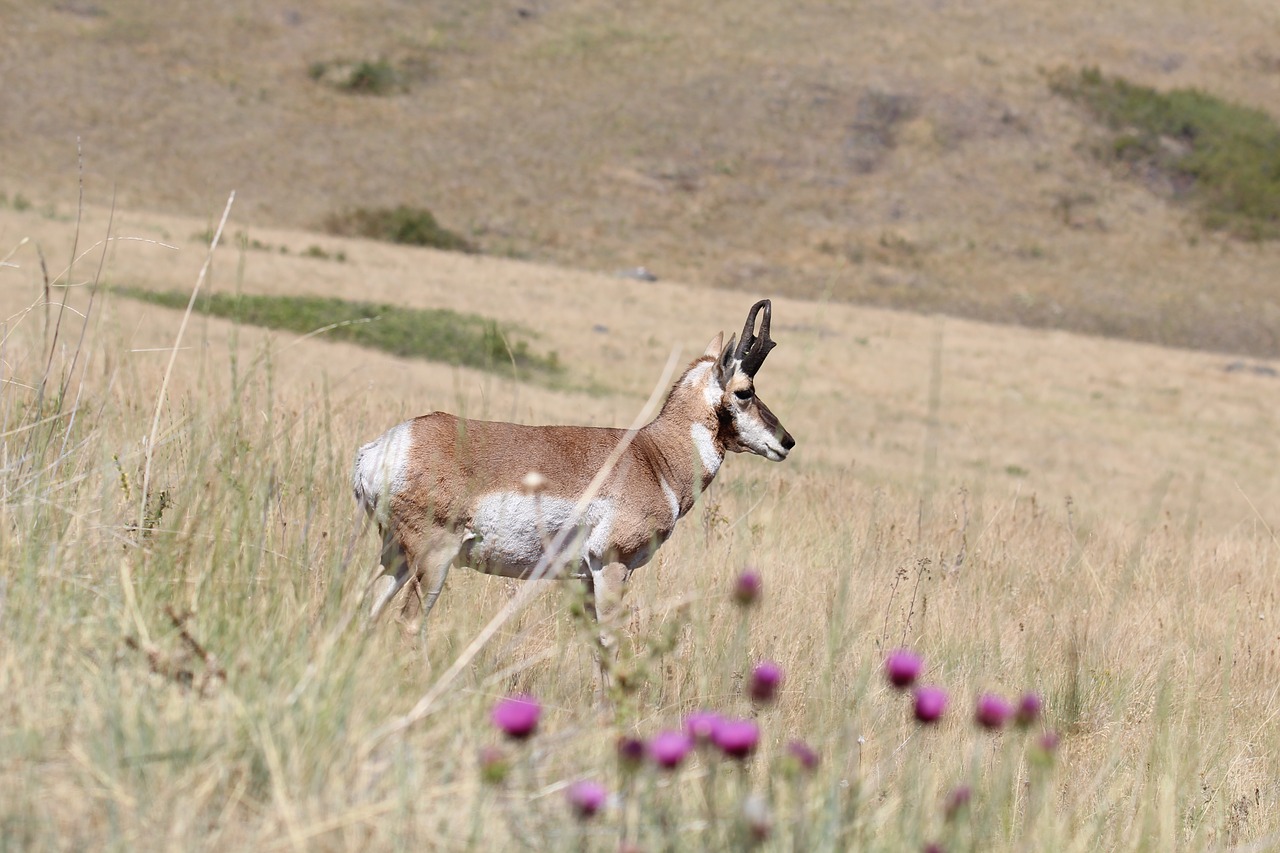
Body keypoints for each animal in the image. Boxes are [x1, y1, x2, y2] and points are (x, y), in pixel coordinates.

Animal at [350, 297, 788, 625]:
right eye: (745, 391)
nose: (787, 441)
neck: (654, 455)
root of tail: (381, 447)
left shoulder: (584, 581)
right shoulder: (611, 568)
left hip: (395, 555)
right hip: (433, 559)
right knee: (408, 621)